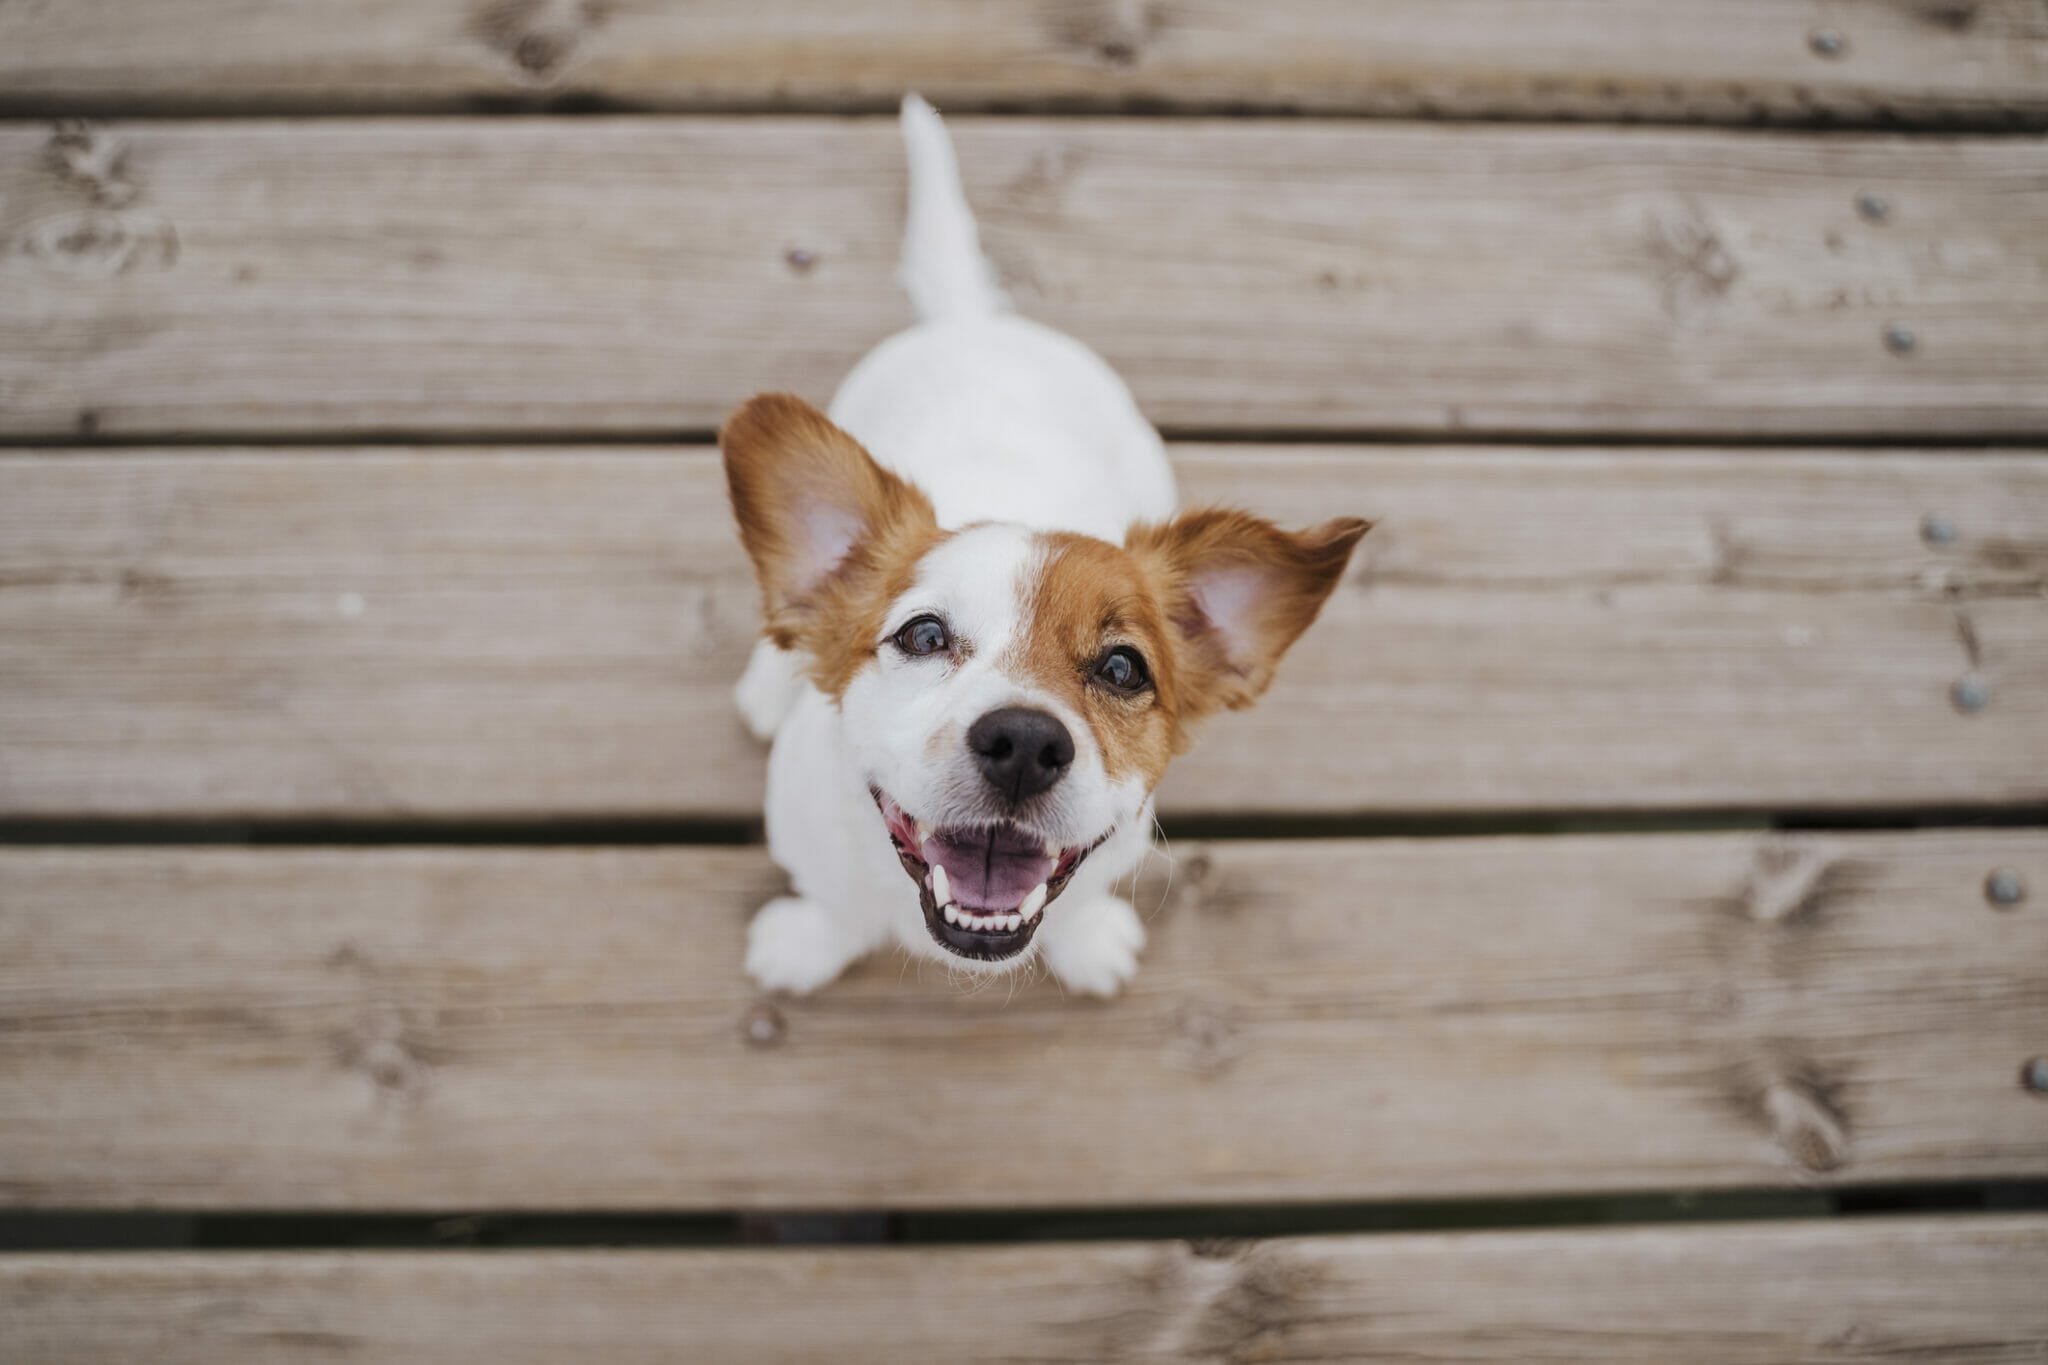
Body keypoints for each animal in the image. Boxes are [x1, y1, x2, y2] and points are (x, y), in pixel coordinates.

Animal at [729, 93, 1368, 994]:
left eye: (1123, 668)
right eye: (922, 634)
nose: (1025, 744)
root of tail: (974, 321)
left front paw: (1088, 940)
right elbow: (833, 904)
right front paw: (806, 943)